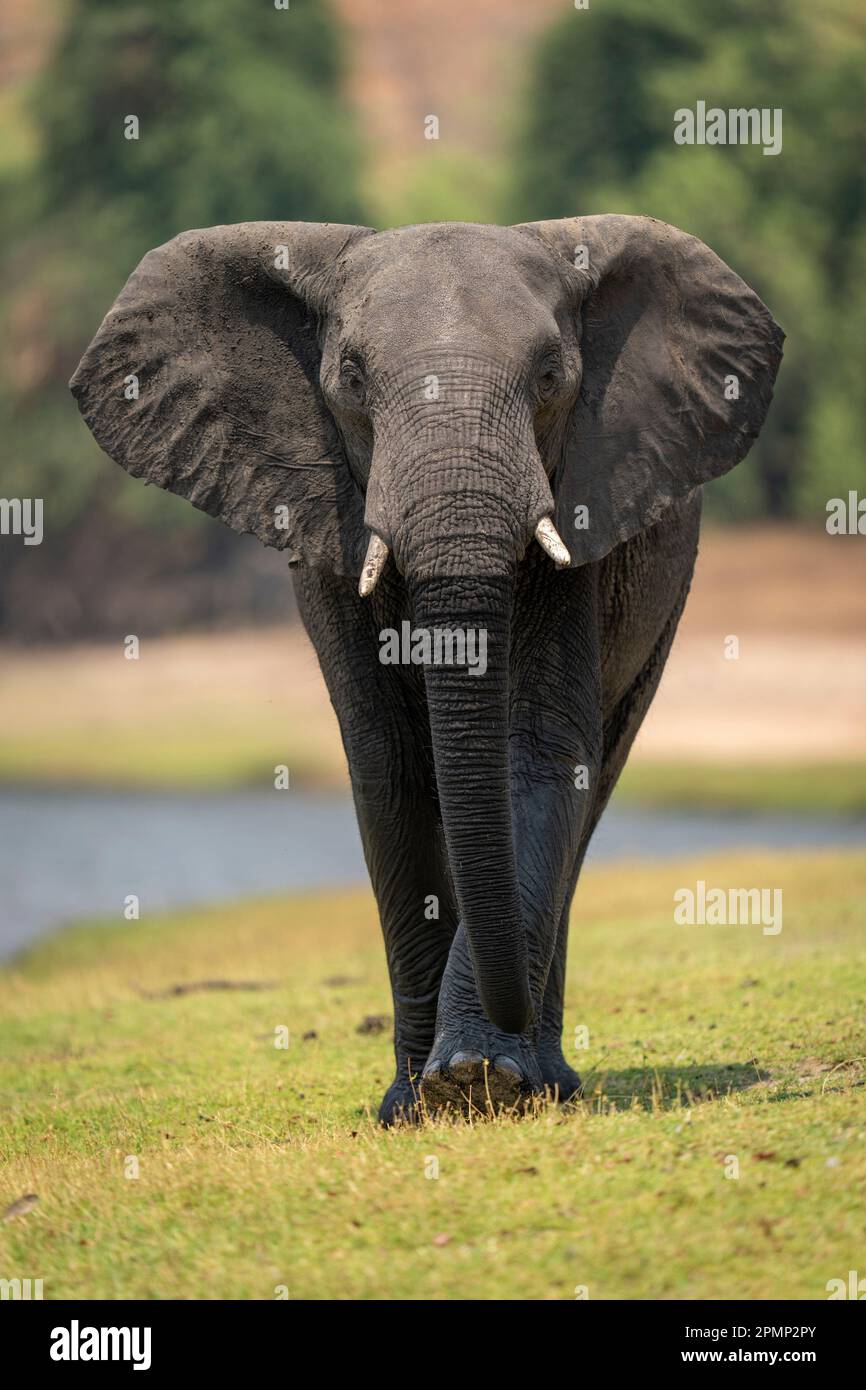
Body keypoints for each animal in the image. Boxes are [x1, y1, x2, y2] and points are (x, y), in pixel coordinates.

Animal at [70, 216, 783, 1124]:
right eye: (350, 379)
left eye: (550, 378)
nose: (498, 1038)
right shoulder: (330, 522)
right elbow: (391, 761)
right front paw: (413, 1102)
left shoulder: (579, 515)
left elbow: (540, 754)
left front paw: (481, 1076)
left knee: (596, 779)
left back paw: (545, 1079)